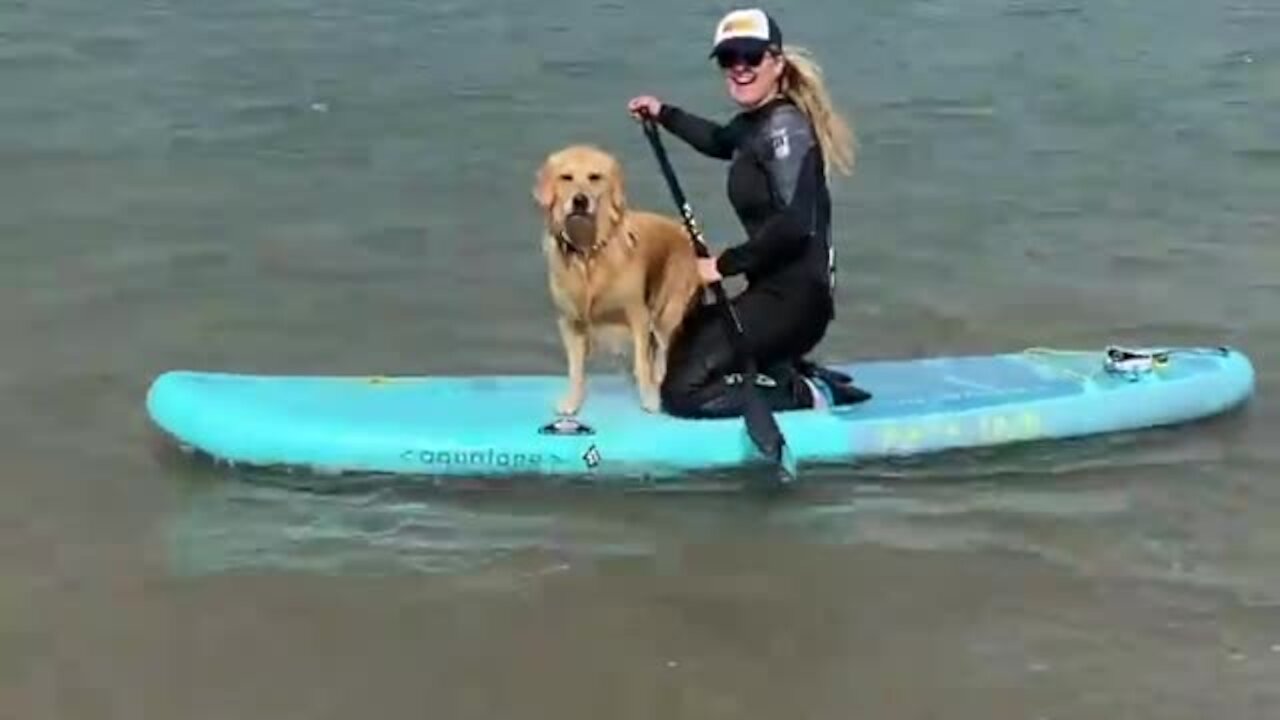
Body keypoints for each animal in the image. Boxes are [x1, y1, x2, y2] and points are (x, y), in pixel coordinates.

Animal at [535, 144, 706, 415]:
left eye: (595, 177)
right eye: (566, 177)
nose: (580, 200)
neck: (588, 253)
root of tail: (685, 232)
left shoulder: (638, 314)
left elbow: (642, 362)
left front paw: (649, 397)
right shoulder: (570, 320)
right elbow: (575, 369)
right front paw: (572, 401)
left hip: (668, 308)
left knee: (662, 346)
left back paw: (658, 378)